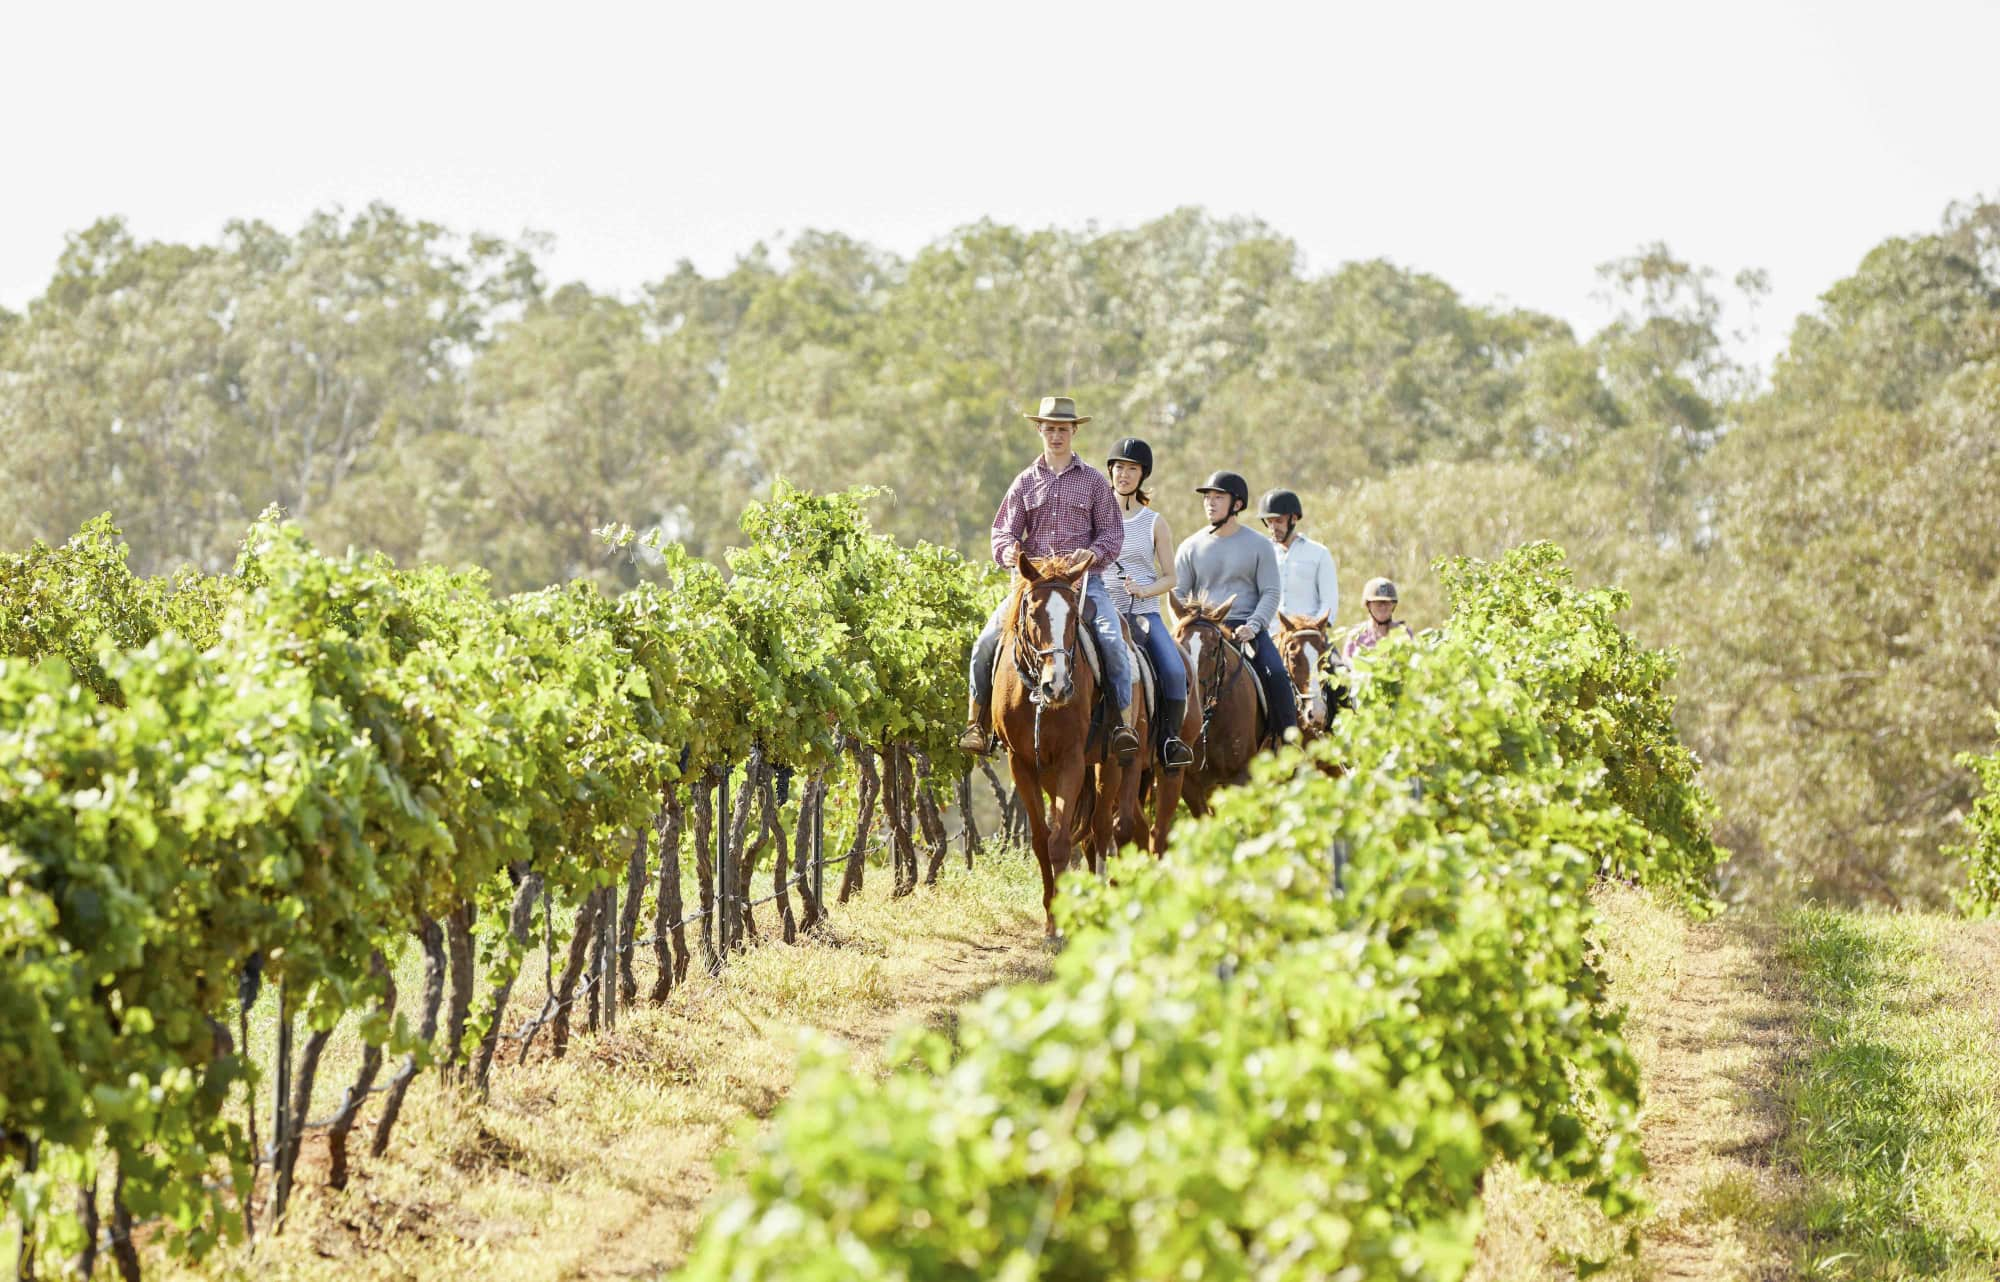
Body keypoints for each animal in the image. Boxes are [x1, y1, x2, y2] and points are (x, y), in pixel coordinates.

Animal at [996, 552, 1120, 928]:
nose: (1059, 686)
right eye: (1033, 614)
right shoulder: (1021, 764)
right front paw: (1052, 915)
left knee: (1100, 829)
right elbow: (1041, 841)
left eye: (1074, 617)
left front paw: (1061, 922)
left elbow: (1061, 841)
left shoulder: (1072, 761)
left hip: (1110, 763)